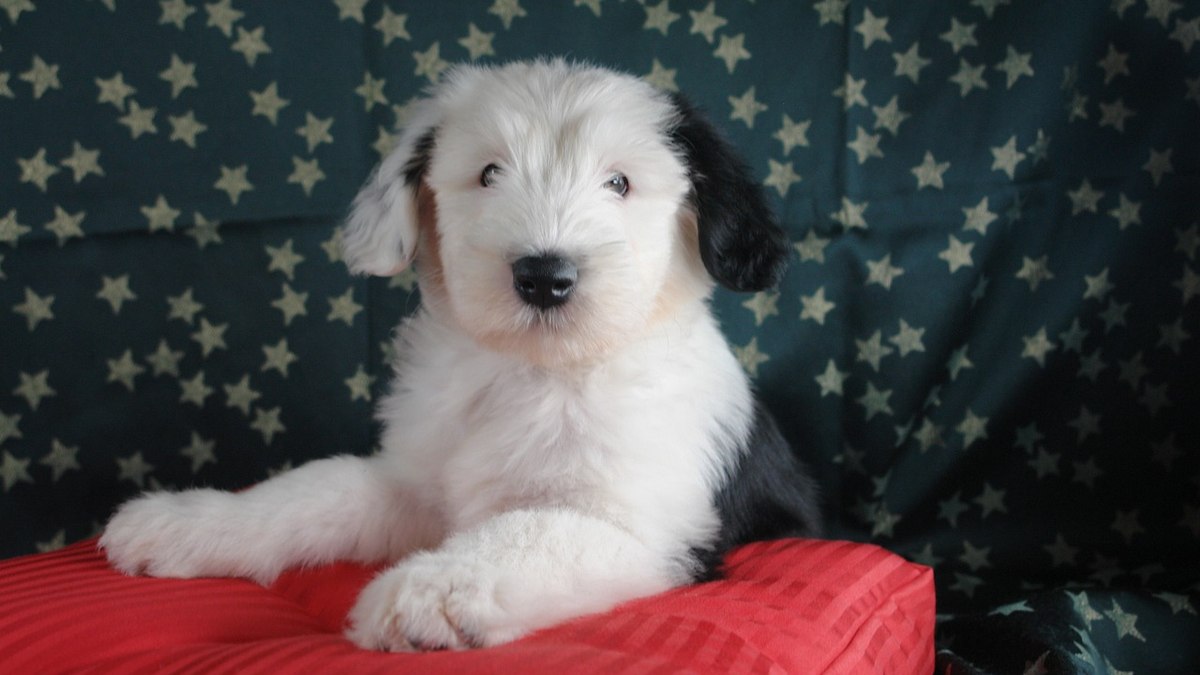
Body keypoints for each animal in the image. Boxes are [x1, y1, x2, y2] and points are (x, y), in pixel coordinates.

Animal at [103, 60, 820, 648]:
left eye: (619, 182)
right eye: (489, 173)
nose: (544, 276)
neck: (535, 371)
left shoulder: (646, 528)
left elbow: (530, 534)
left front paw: (427, 589)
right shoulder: (415, 482)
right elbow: (312, 490)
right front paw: (190, 520)